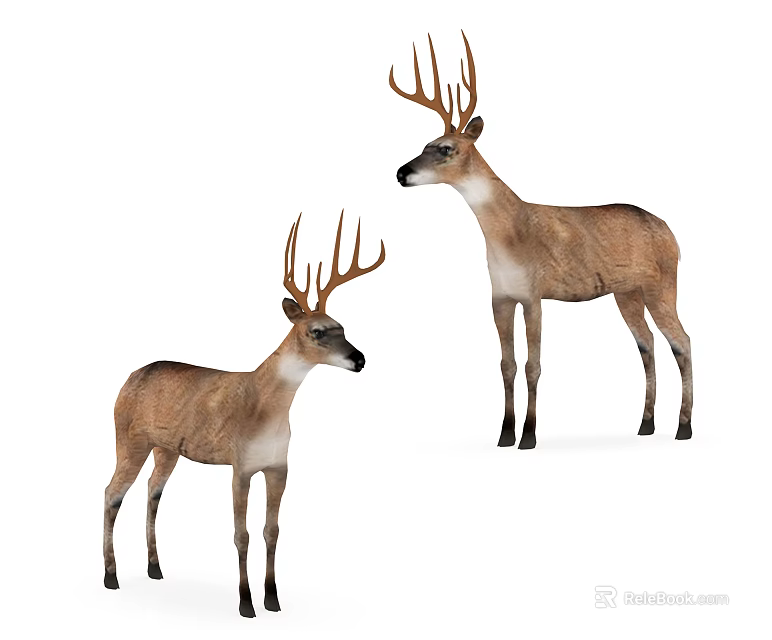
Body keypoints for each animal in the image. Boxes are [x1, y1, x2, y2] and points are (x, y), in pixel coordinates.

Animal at [103, 211, 385, 617]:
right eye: (317, 331)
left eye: (343, 327)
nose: (360, 359)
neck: (267, 410)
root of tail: (128, 378)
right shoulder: (241, 464)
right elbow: (242, 534)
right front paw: (246, 602)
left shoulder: (279, 465)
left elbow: (272, 531)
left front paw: (273, 599)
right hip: (128, 436)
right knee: (111, 493)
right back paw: (111, 576)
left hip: (167, 448)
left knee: (153, 490)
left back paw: (155, 568)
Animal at [389, 32, 692, 449]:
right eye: (422, 144)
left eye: (445, 148)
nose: (401, 173)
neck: (508, 237)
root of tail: (671, 232)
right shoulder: (500, 296)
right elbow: (507, 364)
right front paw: (504, 434)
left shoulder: (534, 293)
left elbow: (533, 365)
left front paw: (529, 436)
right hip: (626, 292)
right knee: (646, 343)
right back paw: (645, 424)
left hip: (662, 282)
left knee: (682, 341)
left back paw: (683, 428)